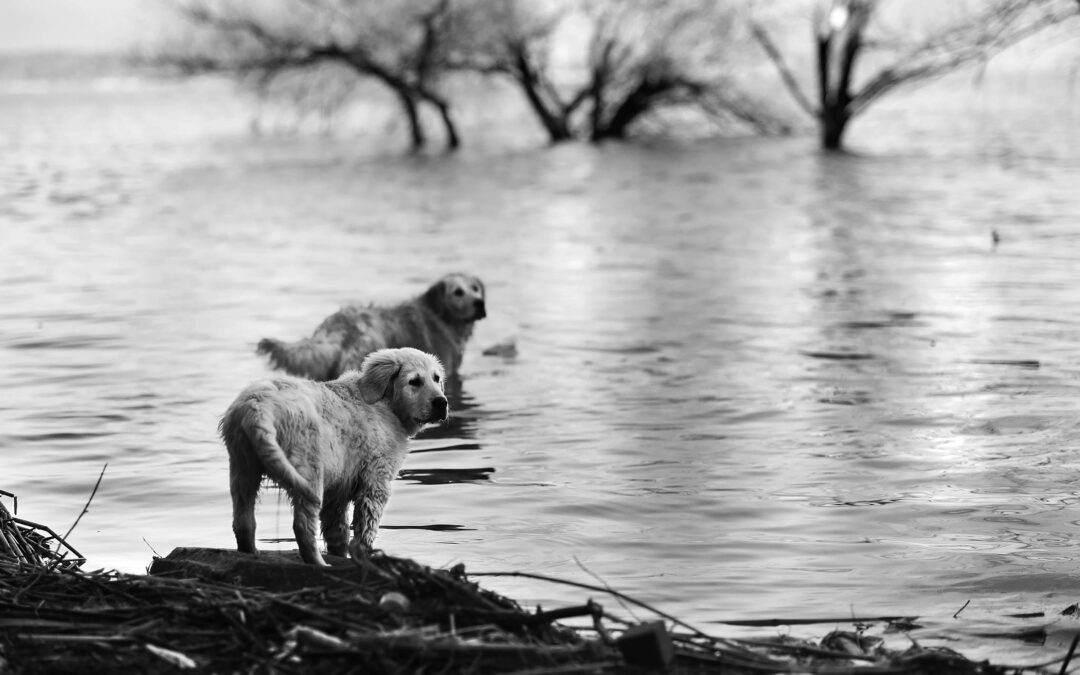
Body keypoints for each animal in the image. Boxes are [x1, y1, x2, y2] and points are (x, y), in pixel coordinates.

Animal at [219, 347, 447, 561]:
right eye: (414, 382)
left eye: (437, 378)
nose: (442, 403)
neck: (384, 404)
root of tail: (258, 406)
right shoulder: (375, 480)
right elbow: (366, 528)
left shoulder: (337, 490)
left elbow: (337, 530)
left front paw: (340, 554)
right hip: (308, 469)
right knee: (302, 526)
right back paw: (318, 562)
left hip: (243, 465)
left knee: (243, 520)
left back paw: (251, 552)